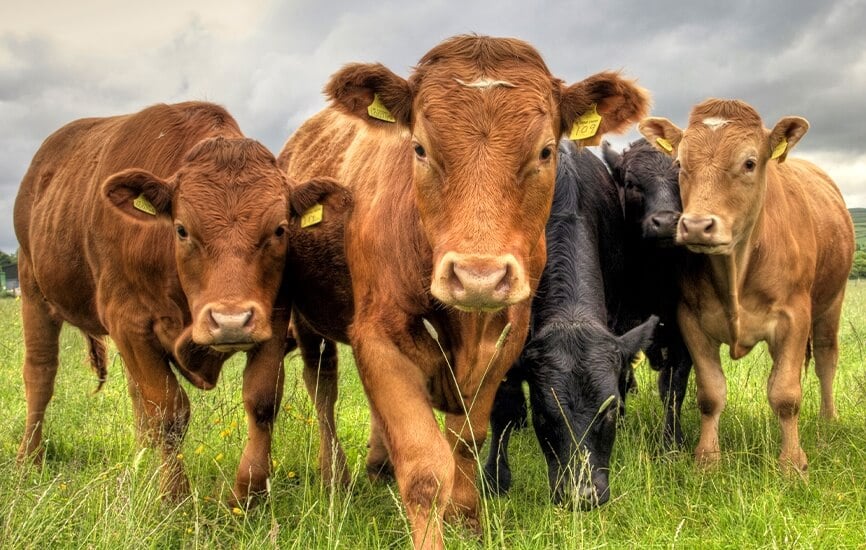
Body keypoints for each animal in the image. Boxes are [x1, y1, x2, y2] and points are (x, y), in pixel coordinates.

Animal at [14, 101, 299, 505]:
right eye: (181, 229)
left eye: (279, 229)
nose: (229, 321)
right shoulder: (129, 321)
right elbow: (168, 413)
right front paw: (174, 498)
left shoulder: (272, 318)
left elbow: (261, 401)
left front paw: (247, 497)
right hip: (33, 290)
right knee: (40, 376)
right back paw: (29, 460)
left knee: (136, 396)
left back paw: (141, 462)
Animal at [638, 99, 855, 473]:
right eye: (679, 163)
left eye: (749, 163)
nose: (697, 225)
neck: (735, 269)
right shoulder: (691, 320)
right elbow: (711, 393)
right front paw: (707, 459)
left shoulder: (795, 317)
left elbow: (786, 394)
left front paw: (792, 463)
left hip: (832, 301)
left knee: (827, 358)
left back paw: (828, 420)